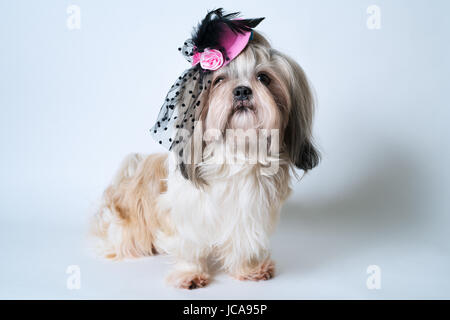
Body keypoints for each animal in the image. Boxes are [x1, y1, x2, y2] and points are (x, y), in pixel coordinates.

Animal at [91, 8, 318, 290]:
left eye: (263, 78)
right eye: (219, 80)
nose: (242, 90)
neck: (237, 150)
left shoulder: (249, 212)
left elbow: (244, 242)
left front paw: (249, 269)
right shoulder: (186, 213)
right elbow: (189, 246)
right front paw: (189, 274)